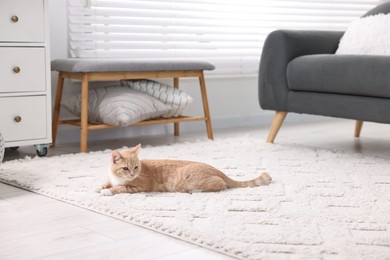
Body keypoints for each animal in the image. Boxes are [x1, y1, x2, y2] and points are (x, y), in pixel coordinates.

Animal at [96, 143, 272, 196]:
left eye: (136, 167)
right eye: (126, 168)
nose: (133, 173)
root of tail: (216, 169)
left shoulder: (140, 186)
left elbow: (121, 188)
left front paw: (108, 191)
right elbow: (107, 182)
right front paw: (102, 186)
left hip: (186, 182)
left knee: (221, 184)